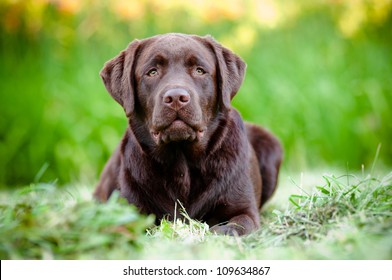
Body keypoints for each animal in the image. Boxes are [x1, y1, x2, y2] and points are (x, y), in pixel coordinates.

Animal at [95, 32, 284, 235]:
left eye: (199, 70)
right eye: (152, 72)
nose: (176, 97)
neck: (182, 162)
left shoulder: (244, 211)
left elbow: (234, 226)